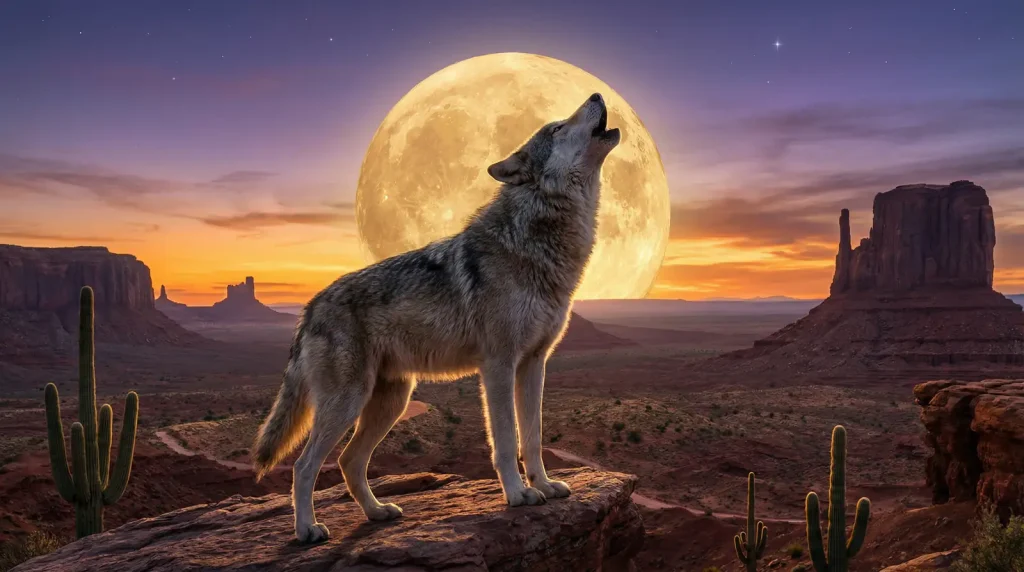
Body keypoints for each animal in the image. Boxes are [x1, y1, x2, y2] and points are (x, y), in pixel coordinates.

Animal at [252, 93, 620, 543]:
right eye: (556, 128)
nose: (597, 95)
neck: (536, 239)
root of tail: (310, 307)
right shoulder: (498, 366)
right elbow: (505, 439)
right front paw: (518, 494)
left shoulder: (534, 364)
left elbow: (532, 439)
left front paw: (545, 486)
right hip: (348, 403)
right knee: (306, 467)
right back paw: (308, 529)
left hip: (390, 402)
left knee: (348, 462)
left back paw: (377, 512)